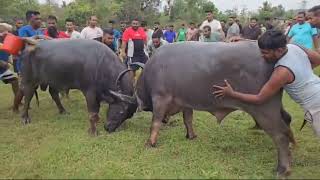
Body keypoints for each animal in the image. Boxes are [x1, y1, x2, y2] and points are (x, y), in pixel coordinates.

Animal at [112, 41, 296, 177]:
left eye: (122, 110)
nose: (109, 127)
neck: (153, 70)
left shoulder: (160, 98)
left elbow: (155, 122)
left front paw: (150, 142)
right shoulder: (185, 103)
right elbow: (188, 119)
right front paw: (191, 136)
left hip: (264, 109)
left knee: (280, 135)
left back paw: (283, 168)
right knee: (287, 121)